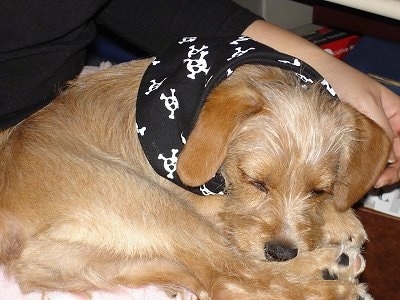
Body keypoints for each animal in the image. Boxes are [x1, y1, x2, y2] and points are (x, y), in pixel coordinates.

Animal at [0, 58, 390, 298]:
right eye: (255, 181)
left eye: (319, 190)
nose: (281, 251)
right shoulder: (206, 202)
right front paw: (341, 224)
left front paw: (339, 218)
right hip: (159, 207)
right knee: (234, 277)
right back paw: (334, 280)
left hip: (125, 264)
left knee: (213, 282)